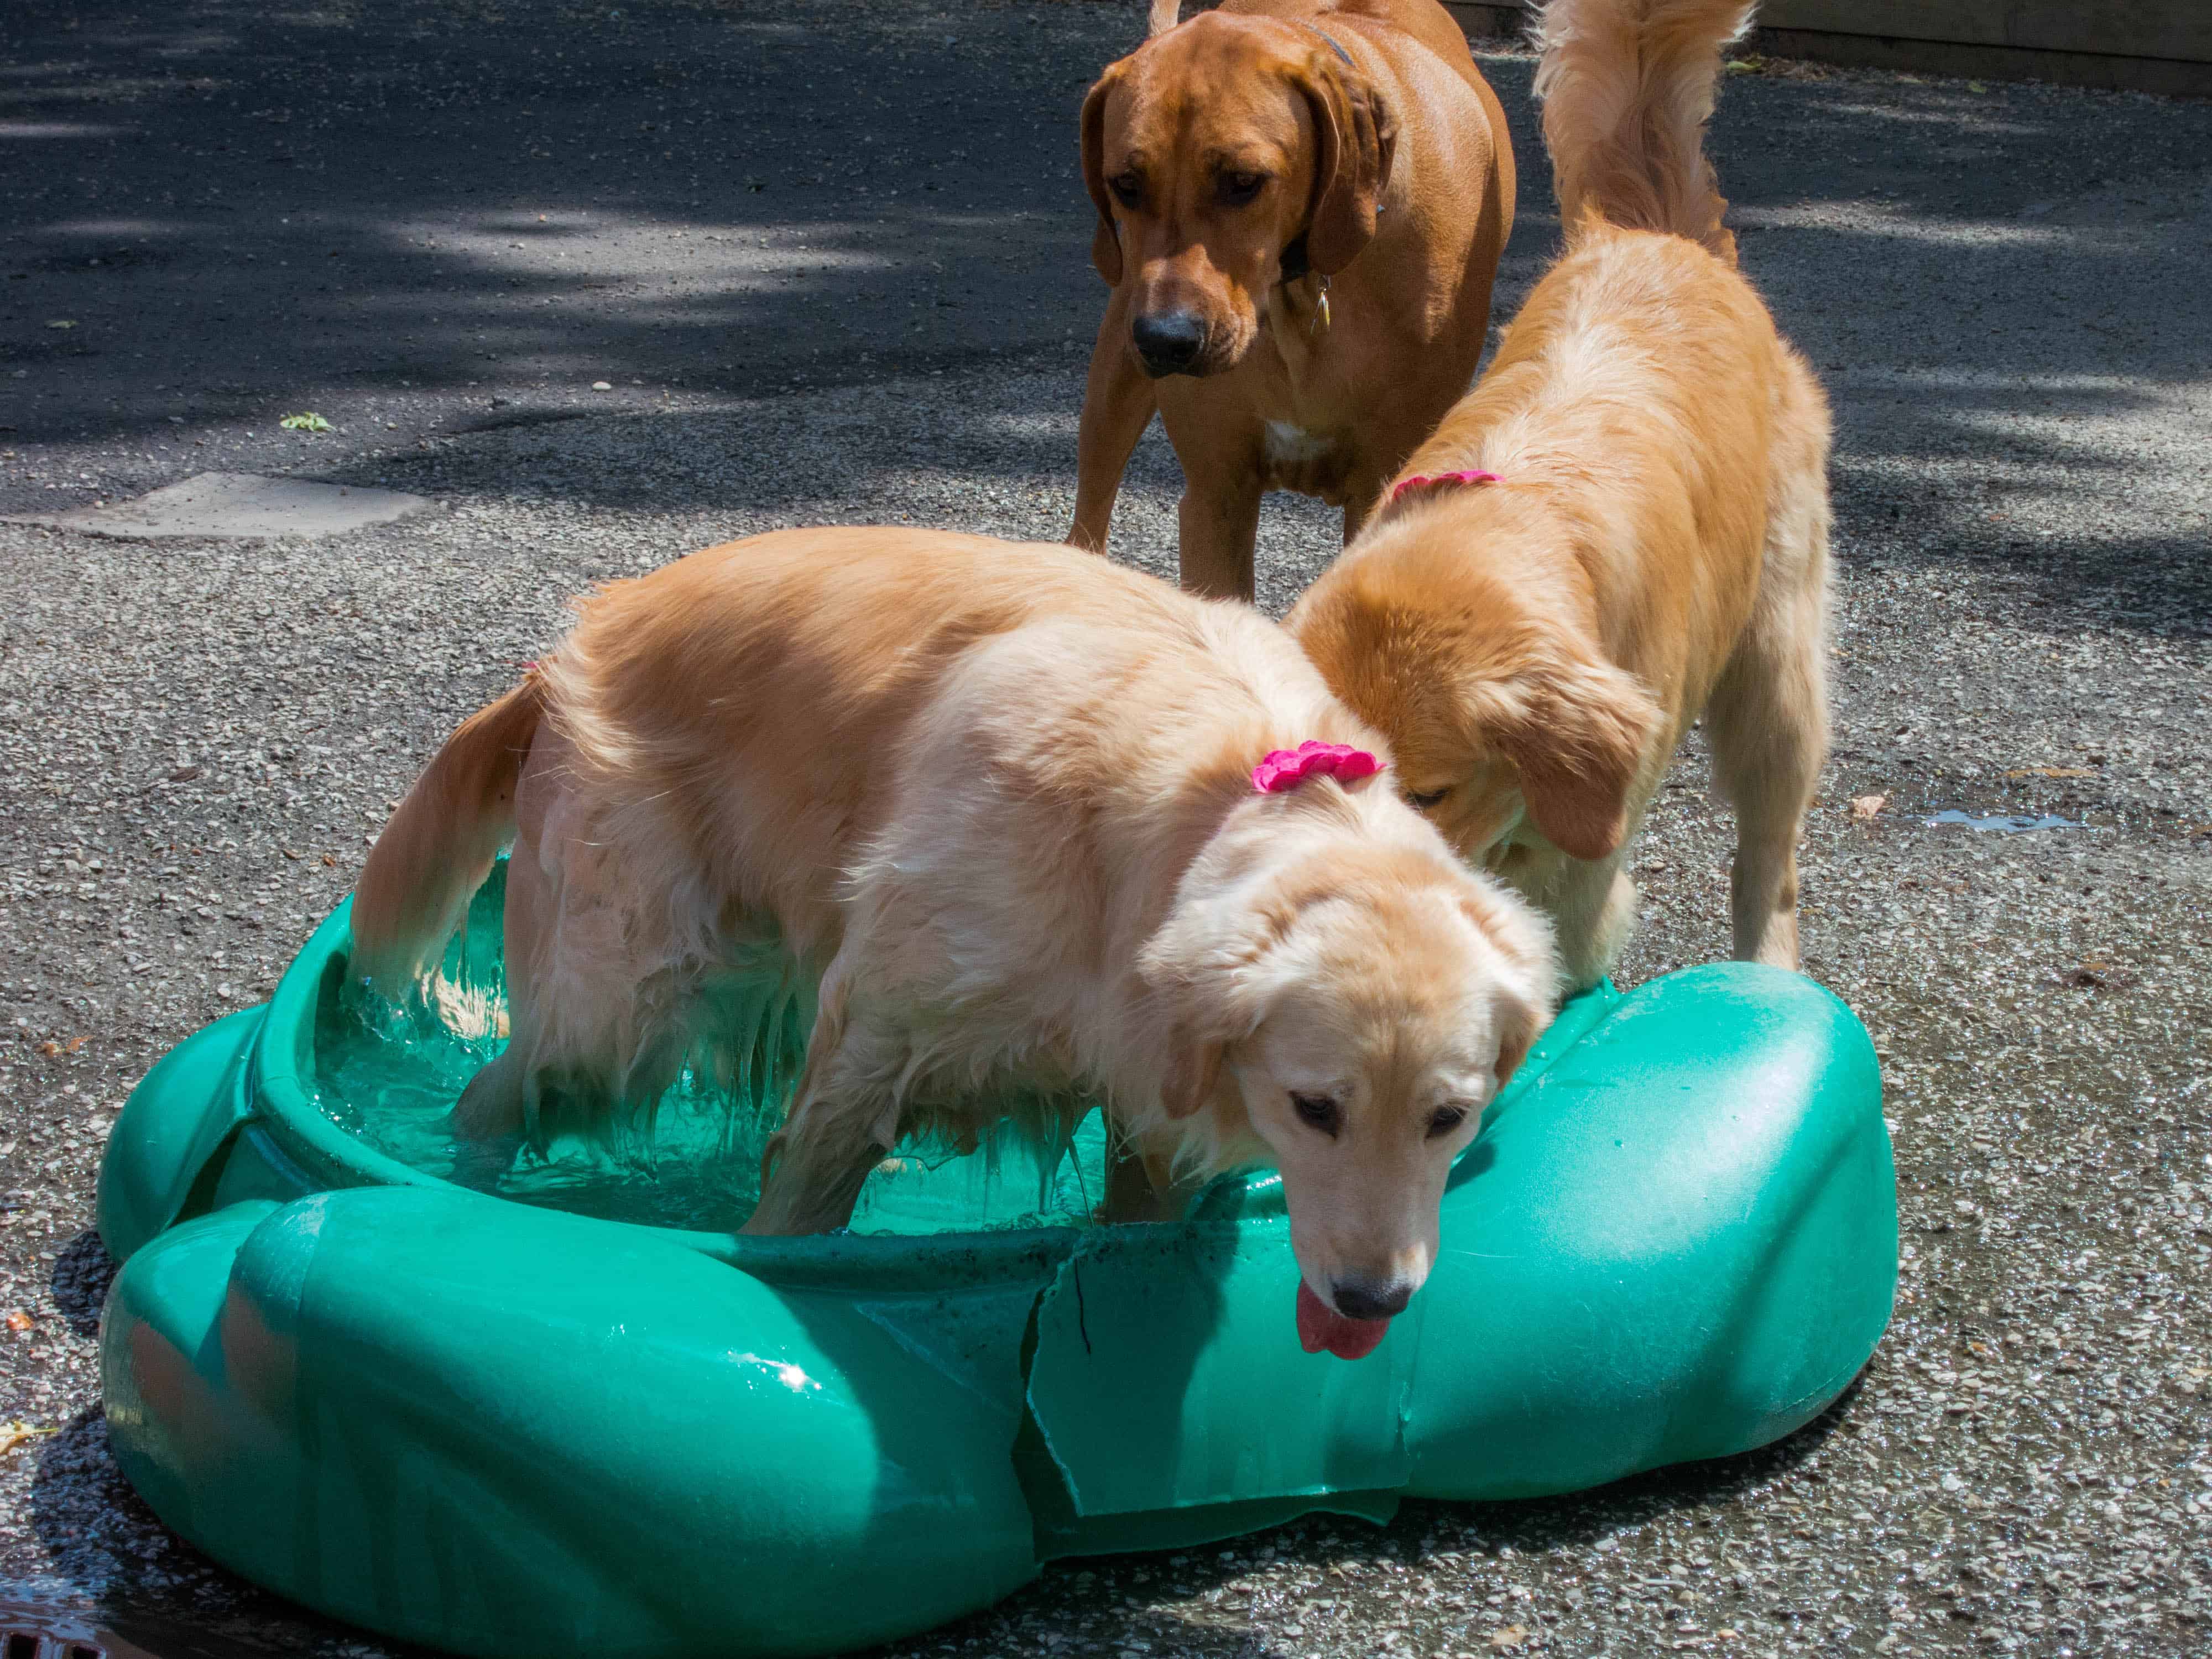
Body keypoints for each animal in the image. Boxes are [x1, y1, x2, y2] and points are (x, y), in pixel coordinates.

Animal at [1071, 0, 1522, 606]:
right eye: (1125, 183)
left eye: (1243, 181)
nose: (1166, 339)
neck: (1300, 288)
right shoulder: (1217, 494)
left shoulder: (1384, 484)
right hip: (1116, 365)